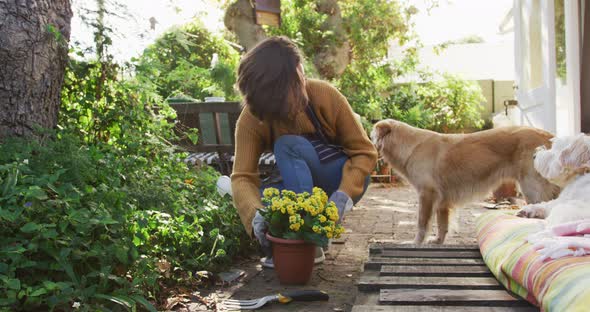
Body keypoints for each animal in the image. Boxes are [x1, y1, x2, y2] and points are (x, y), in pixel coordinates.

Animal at [372, 119, 560, 244]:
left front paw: (416, 243)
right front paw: (438, 241)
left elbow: (422, 223)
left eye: (372, 132)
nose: (368, 135)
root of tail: (550, 136)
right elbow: (442, 224)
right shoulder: (442, 200)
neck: (411, 146)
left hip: (532, 187)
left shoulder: (427, 194)